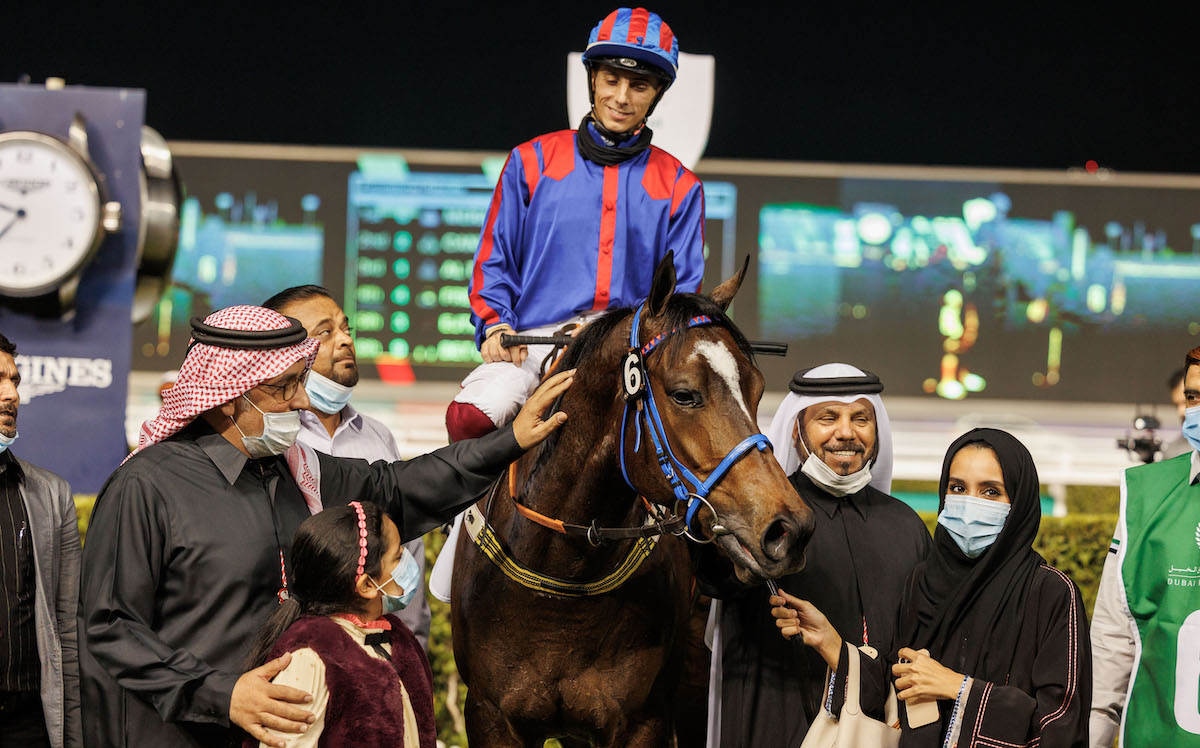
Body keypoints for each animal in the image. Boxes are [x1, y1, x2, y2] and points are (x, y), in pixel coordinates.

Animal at [451, 254, 816, 744]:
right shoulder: (490, 715)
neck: (564, 579)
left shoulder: (643, 721)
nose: (790, 528)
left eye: (757, 390)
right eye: (684, 394)